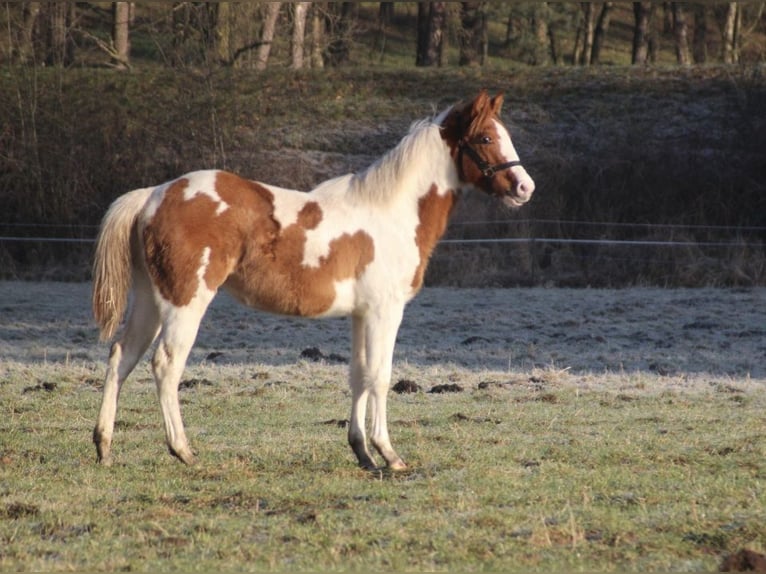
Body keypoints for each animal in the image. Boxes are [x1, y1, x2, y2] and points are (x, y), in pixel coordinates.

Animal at [91, 90, 535, 470]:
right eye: (485, 137)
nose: (525, 187)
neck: (391, 212)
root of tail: (154, 194)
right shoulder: (384, 312)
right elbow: (380, 375)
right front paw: (389, 454)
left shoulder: (361, 315)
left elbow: (358, 374)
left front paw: (363, 453)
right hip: (185, 302)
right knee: (166, 364)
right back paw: (183, 450)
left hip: (150, 300)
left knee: (122, 357)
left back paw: (104, 447)